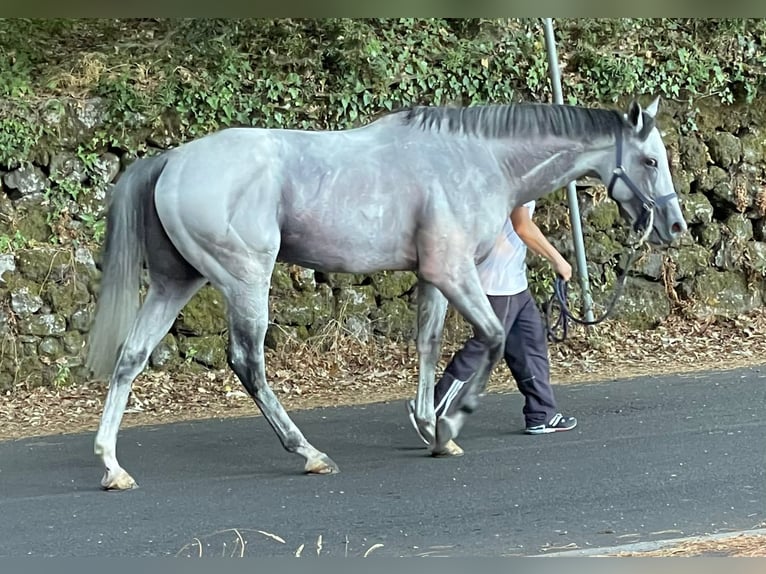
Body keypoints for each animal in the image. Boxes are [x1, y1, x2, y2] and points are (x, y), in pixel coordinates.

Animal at [85, 95, 688, 490]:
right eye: (650, 159)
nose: (676, 226)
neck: (477, 161)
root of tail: (171, 160)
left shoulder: (433, 277)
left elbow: (428, 348)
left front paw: (431, 428)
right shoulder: (453, 271)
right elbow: (493, 337)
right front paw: (452, 420)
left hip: (176, 281)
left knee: (131, 357)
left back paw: (112, 466)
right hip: (244, 278)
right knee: (247, 362)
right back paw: (309, 453)